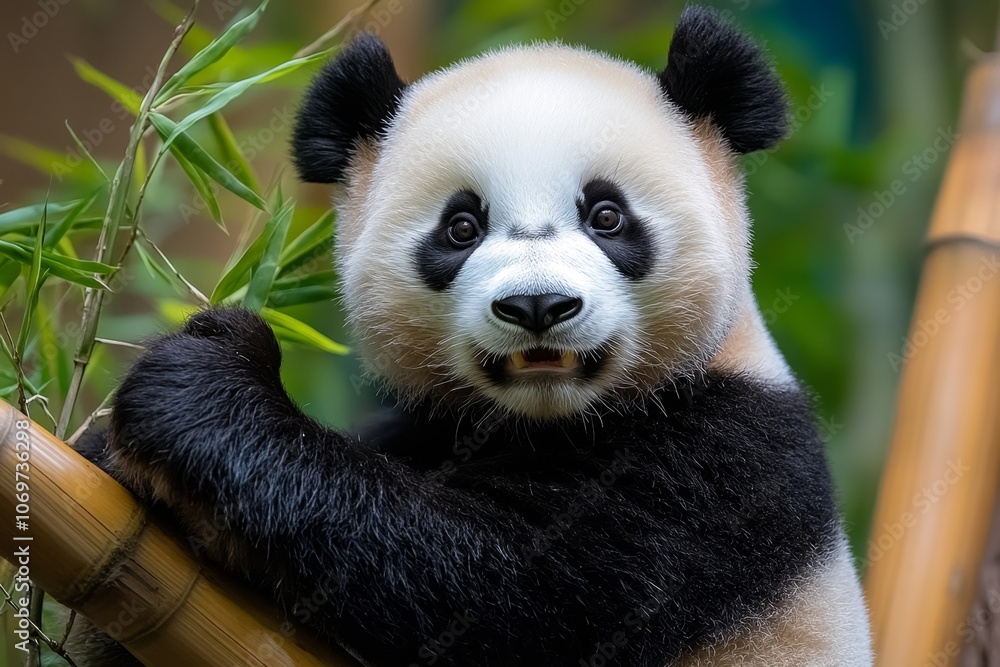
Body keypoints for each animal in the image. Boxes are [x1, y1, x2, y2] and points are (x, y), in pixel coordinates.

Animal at [69, 5, 872, 666]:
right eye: (461, 226)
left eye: (606, 216)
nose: (538, 304)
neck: (546, 422)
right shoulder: (423, 422)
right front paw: (113, 454)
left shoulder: (721, 469)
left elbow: (503, 591)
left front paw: (201, 386)